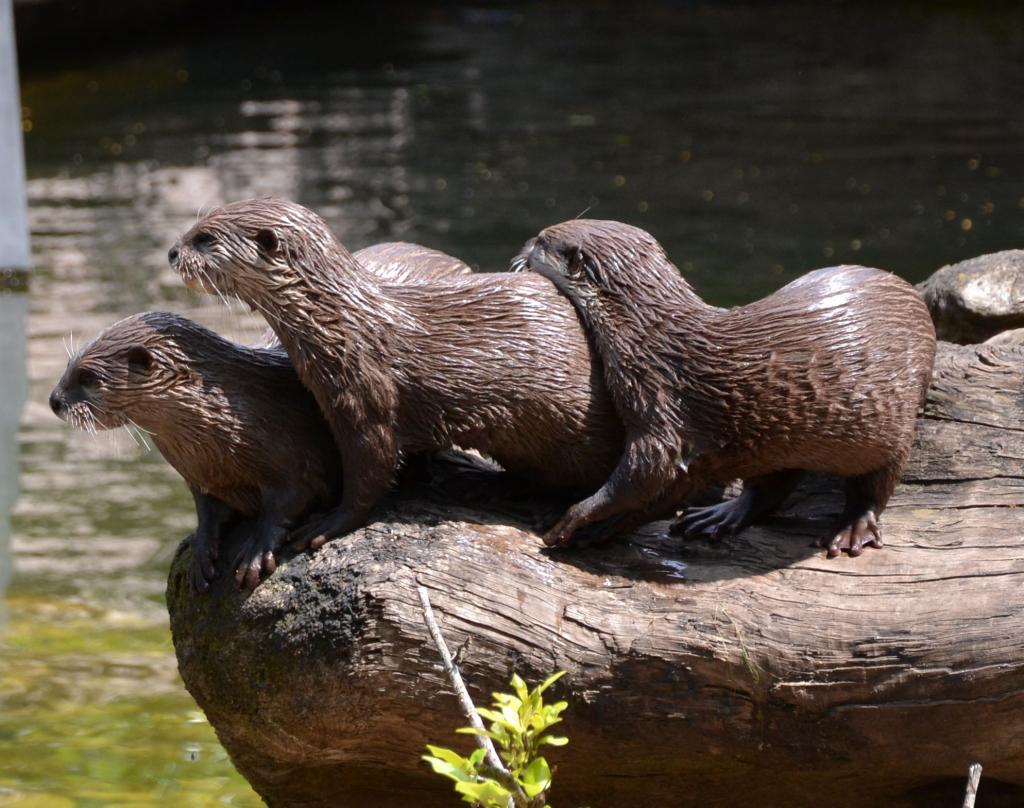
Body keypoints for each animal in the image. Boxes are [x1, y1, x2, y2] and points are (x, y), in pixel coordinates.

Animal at [51, 244, 473, 592]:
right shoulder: (200, 476)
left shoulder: (295, 454)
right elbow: (206, 510)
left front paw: (256, 552)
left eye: (89, 378)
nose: (54, 400)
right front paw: (202, 550)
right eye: (69, 367)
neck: (230, 418)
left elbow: (289, 501)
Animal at [168, 198, 626, 550]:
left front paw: (328, 524)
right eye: (193, 228)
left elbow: (370, 472)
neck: (339, 325)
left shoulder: (368, 398)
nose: (172, 252)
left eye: (205, 239)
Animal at [518, 219, 937, 556]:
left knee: (875, 482)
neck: (648, 336)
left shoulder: (661, 402)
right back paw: (721, 515)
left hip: (892, 423)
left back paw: (852, 527)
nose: (525, 243)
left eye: (543, 239)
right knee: (772, 485)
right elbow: (660, 492)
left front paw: (573, 518)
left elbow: (645, 474)